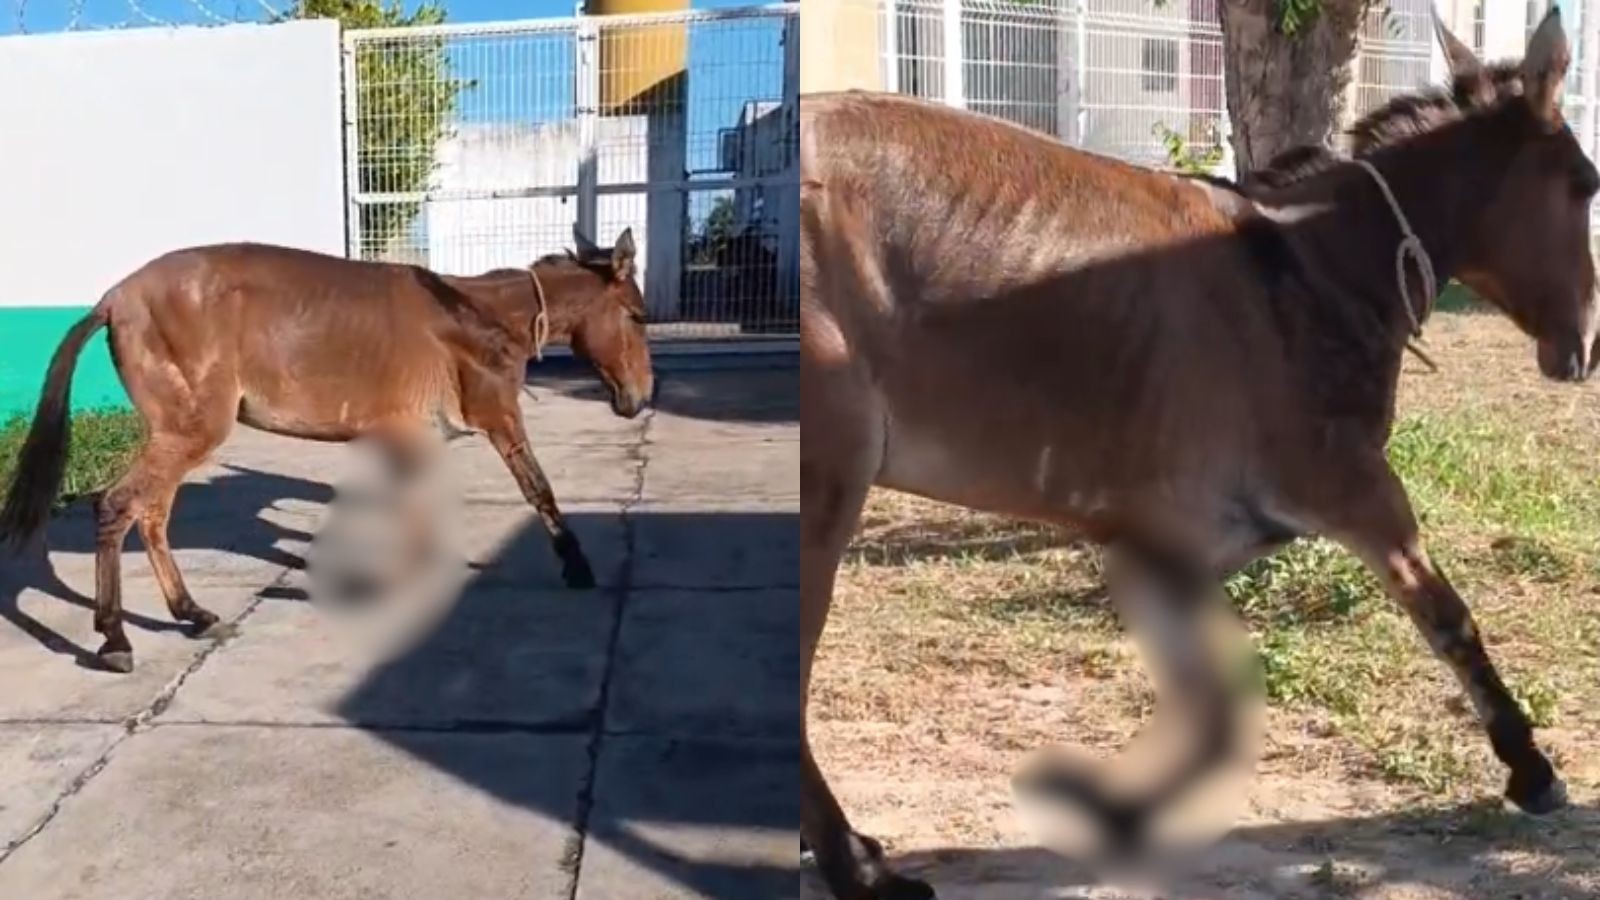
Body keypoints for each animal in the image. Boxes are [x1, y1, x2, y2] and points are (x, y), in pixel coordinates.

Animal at [0, 227, 653, 674]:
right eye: (638, 316)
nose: (639, 397)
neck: (472, 316)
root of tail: (115, 298)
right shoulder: (498, 419)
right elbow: (536, 487)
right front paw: (576, 565)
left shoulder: (412, 438)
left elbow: (417, 515)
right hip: (189, 431)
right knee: (118, 507)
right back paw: (115, 638)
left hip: (178, 435)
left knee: (152, 515)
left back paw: (193, 614)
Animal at [800, 10, 1595, 899]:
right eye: (1587, 183)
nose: (1581, 348)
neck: (1307, 271)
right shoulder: (1355, 489)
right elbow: (1448, 618)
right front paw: (1531, 768)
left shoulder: (1157, 546)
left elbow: (1213, 720)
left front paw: (1109, 809)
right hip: (823, 501)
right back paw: (854, 867)